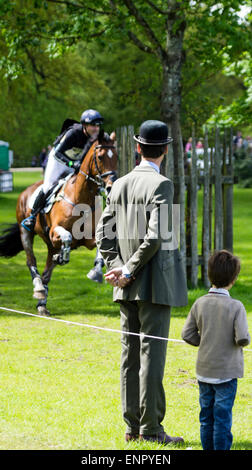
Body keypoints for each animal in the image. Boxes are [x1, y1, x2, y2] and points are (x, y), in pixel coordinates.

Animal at [0, 131, 117, 316]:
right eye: (100, 157)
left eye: (117, 156)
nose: (112, 185)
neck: (81, 198)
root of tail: (26, 191)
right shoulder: (55, 233)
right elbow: (67, 236)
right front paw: (64, 256)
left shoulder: (87, 239)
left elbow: (98, 247)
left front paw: (96, 272)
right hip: (26, 232)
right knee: (31, 261)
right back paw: (39, 288)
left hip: (50, 246)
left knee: (47, 272)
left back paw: (42, 303)